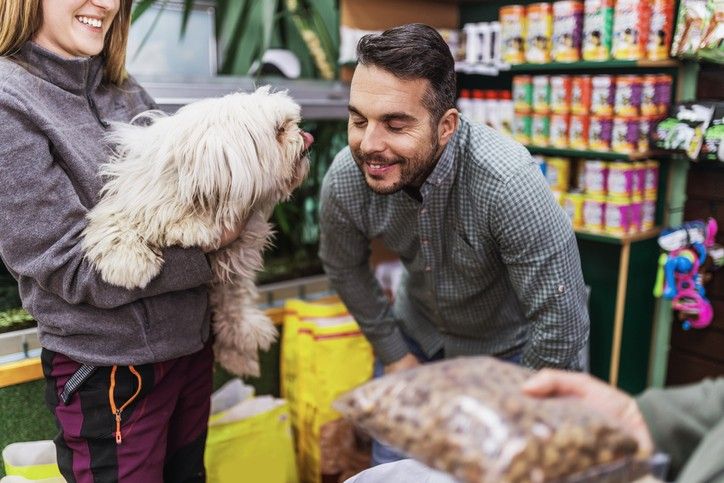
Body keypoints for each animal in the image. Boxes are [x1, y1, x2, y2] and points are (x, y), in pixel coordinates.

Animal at [81, 85, 312, 376]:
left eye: (292, 123)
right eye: (279, 129)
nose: (307, 137)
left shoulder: (239, 245)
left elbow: (234, 292)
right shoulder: (136, 197)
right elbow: (119, 222)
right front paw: (129, 264)